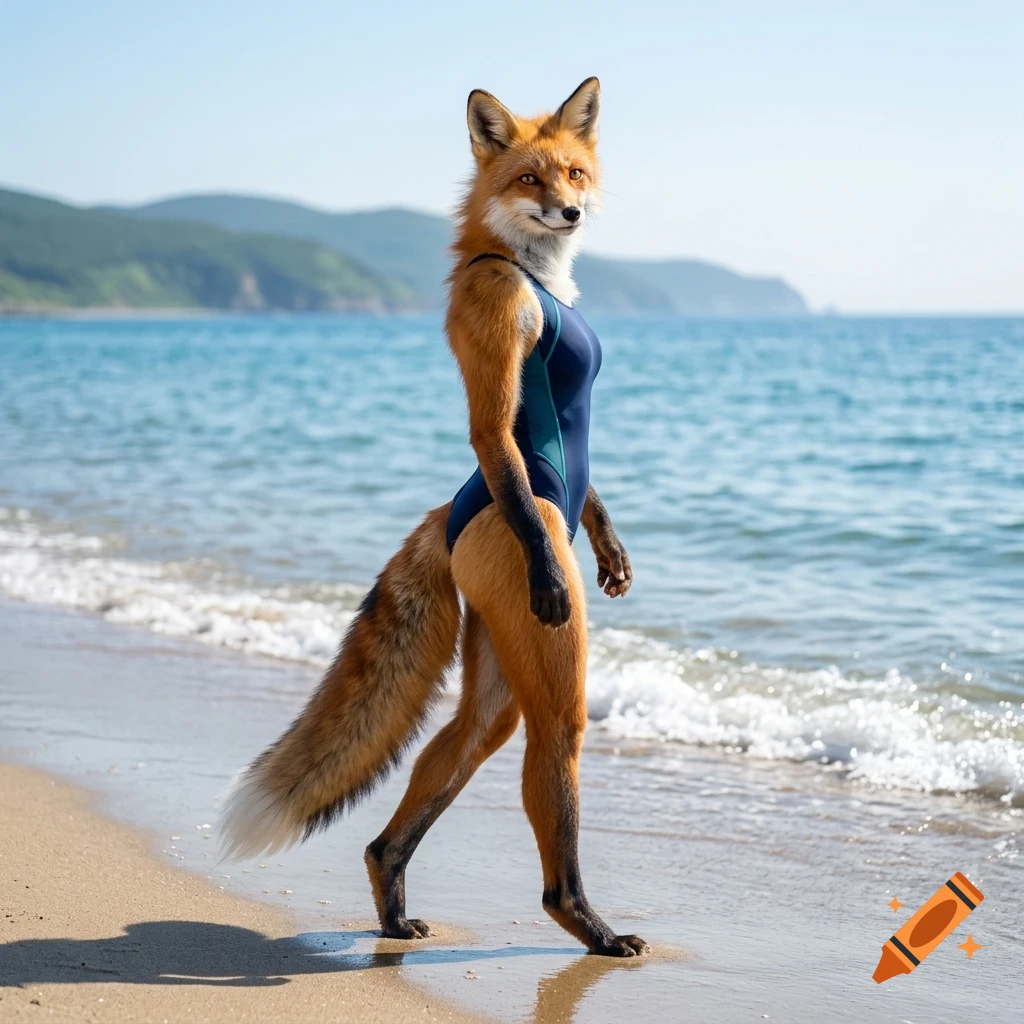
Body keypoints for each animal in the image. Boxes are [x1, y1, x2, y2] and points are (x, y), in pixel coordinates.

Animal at [220, 77, 649, 957]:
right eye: (529, 180)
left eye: (574, 174)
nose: (569, 213)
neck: (529, 272)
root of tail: (447, 518)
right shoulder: (495, 320)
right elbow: (494, 428)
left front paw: (611, 545)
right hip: (545, 658)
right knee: (550, 764)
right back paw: (586, 924)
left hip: (495, 670)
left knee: (445, 763)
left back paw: (390, 901)